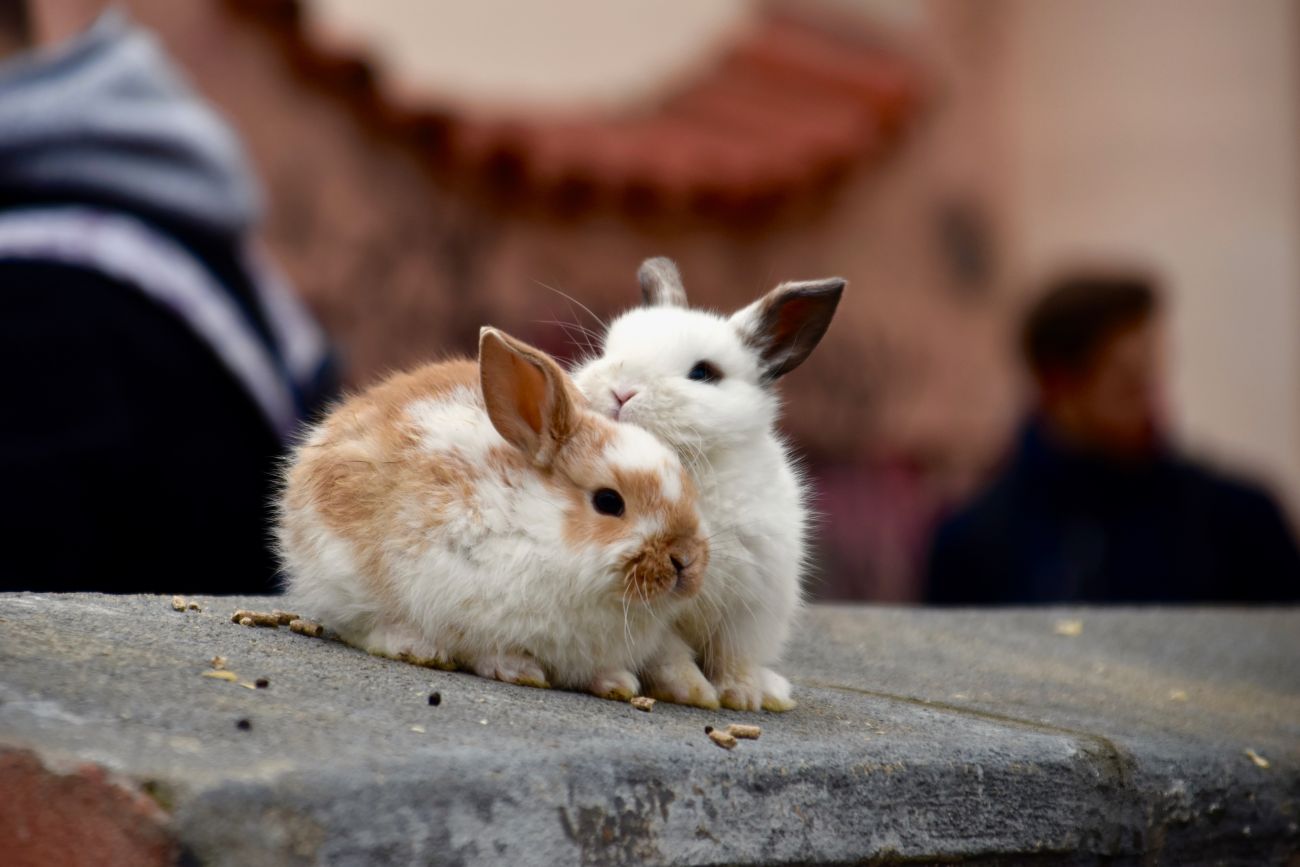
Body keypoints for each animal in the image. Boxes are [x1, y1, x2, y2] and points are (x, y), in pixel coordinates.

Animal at [274, 324, 707, 696]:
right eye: (608, 502)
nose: (685, 560)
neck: (539, 527)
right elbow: (488, 648)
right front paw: (519, 670)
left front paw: (618, 683)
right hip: (342, 572)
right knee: (365, 625)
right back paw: (416, 647)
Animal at [572, 257, 842, 712]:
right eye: (608, 351)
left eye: (703, 373)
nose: (621, 392)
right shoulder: (658, 612)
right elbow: (670, 656)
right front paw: (694, 693)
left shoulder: (750, 607)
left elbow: (734, 657)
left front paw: (743, 697)